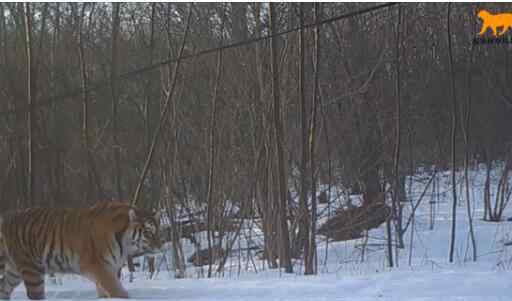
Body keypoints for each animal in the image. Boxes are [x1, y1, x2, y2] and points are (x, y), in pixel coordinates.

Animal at [0, 202, 162, 298]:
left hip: (14, 273)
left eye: (158, 230)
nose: (160, 246)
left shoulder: (107, 269)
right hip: (31, 271)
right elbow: (117, 291)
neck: (123, 242)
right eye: (148, 232)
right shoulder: (98, 267)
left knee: (3, 288)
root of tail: (7, 217)